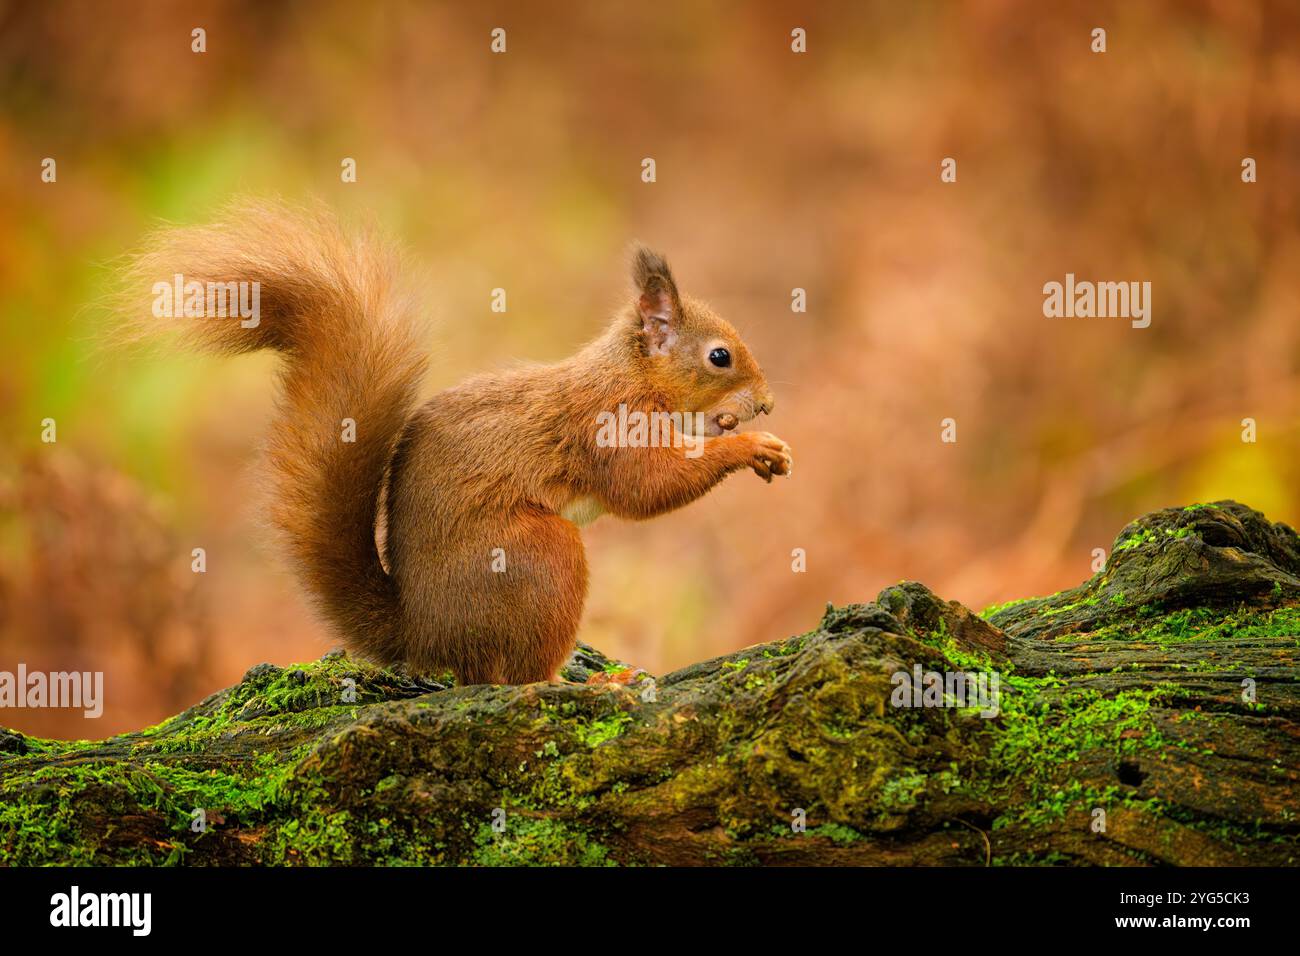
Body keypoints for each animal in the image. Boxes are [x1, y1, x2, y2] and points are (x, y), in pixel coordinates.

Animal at [124, 201, 790, 686]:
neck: (630, 376)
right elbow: (648, 488)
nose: (765, 403)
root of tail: (426, 635)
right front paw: (753, 446)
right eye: (720, 357)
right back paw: (591, 682)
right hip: (540, 557)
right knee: (516, 679)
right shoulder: (607, 426)